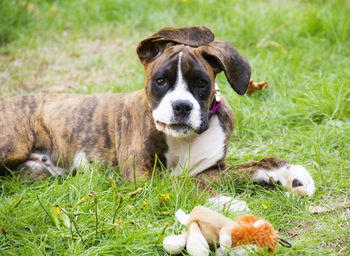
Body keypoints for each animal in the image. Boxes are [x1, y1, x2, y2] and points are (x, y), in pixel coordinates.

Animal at [0, 26, 316, 196]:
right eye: (160, 81)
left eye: (202, 83)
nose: (181, 106)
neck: (184, 139)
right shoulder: (143, 176)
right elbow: (188, 185)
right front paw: (228, 205)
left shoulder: (213, 169)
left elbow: (249, 166)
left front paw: (290, 173)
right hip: (12, 145)